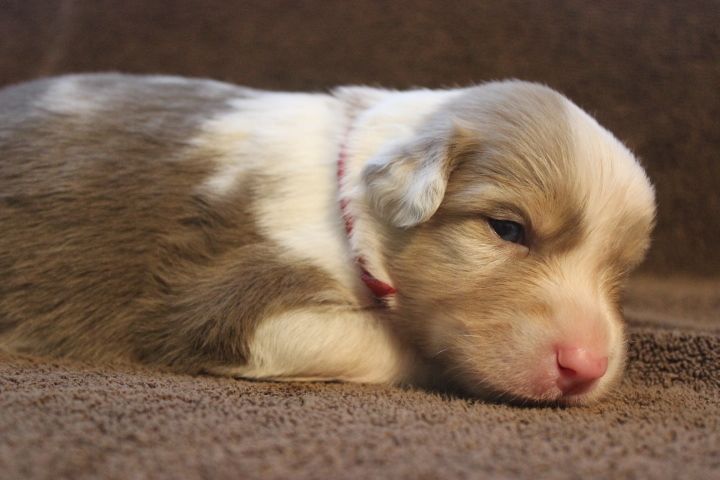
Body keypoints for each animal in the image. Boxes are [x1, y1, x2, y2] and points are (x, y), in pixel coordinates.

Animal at [0, 74, 656, 405]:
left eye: (620, 273)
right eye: (507, 229)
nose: (587, 367)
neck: (346, 204)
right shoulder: (232, 303)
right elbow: (380, 341)